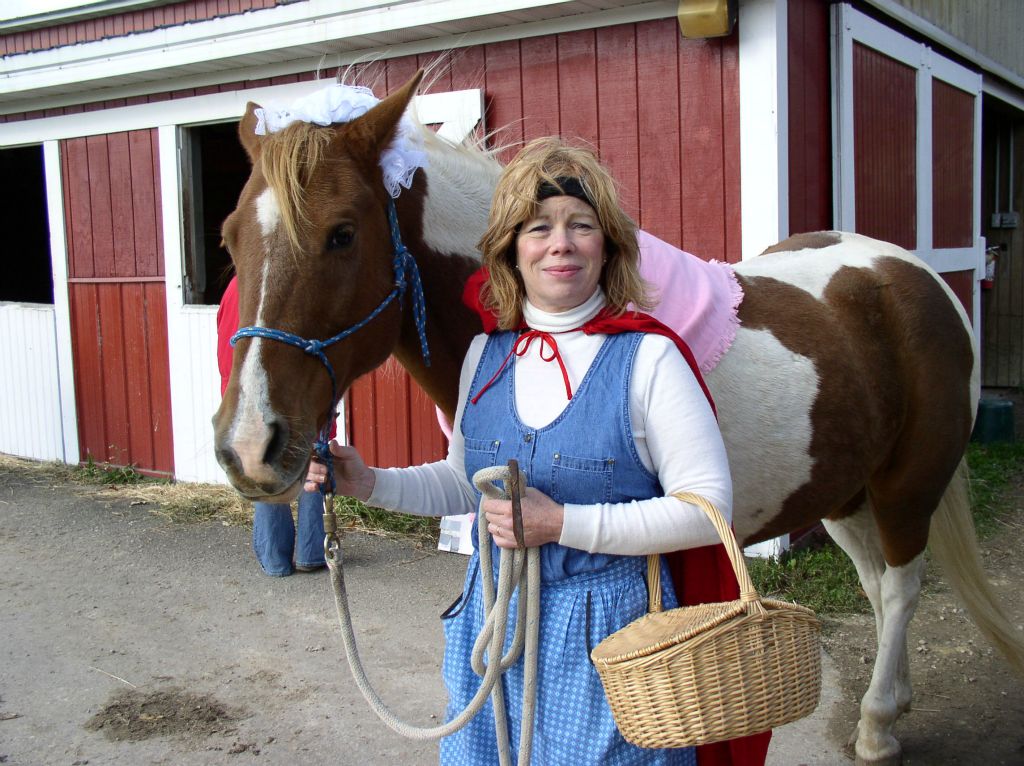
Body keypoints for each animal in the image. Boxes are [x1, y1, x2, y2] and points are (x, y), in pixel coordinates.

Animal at [211, 71, 1019, 766]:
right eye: (228, 237)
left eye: (343, 232)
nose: (250, 445)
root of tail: (909, 273)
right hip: (842, 491)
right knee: (880, 589)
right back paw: (894, 703)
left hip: (905, 486)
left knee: (903, 587)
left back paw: (878, 726)